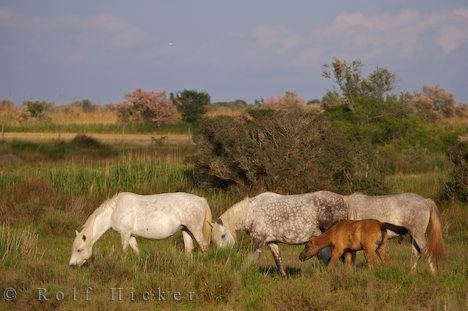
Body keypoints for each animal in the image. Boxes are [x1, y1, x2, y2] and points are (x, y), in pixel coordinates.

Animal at [69, 193, 212, 268]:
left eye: (79, 250)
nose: (71, 265)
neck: (114, 210)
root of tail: (201, 199)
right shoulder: (131, 235)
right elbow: (136, 250)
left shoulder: (125, 233)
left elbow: (124, 251)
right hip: (186, 230)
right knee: (189, 249)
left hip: (195, 230)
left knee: (204, 247)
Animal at [212, 193, 348, 278]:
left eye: (223, 236)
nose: (222, 255)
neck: (251, 212)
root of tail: (343, 201)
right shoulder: (271, 241)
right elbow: (278, 260)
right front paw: (284, 277)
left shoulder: (258, 240)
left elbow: (249, 260)